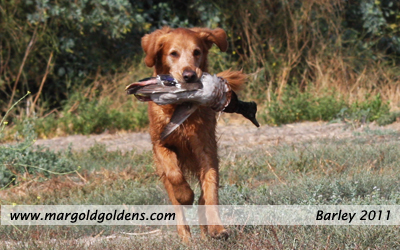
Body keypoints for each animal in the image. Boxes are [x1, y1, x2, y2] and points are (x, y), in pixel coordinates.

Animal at [141, 26, 247, 241]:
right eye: (173, 53)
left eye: (197, 52)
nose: (189, 75)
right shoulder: (160, 144)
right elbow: (174, 174)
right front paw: (185, 195)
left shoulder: (206, 149)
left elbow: (210, 191)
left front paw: (217, 228)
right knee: (176, 204)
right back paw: (185, 237)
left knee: (204, 195)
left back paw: (206, 232)